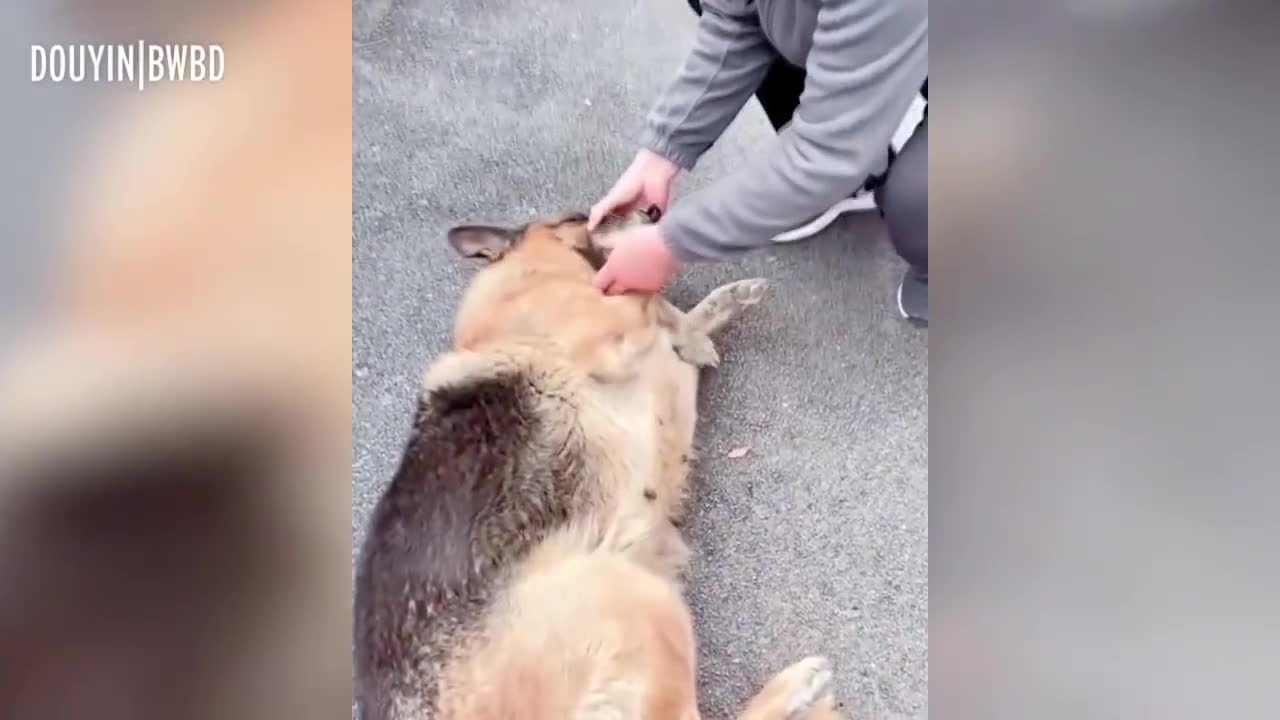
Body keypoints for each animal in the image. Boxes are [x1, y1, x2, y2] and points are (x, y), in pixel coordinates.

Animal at [355, 208, 844, 717]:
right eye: (576, 216)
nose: (652, 212)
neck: (527, 276)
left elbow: (668, 316)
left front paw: (705, 318)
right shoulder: (607, 325)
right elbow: (645, 293)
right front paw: (684, 317)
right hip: (627, 592)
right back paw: (797, 688)